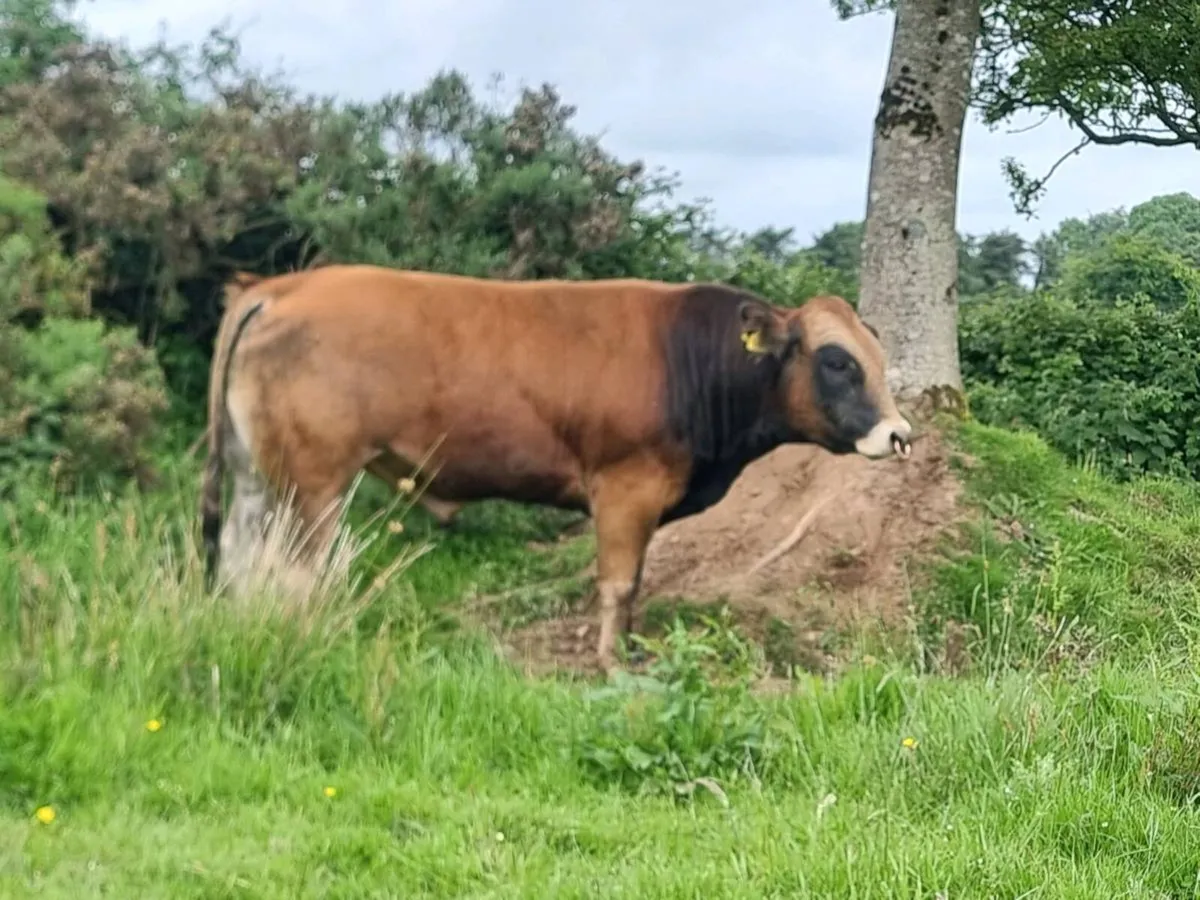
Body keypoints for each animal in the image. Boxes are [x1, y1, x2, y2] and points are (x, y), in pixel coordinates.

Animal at [199, 264, 912, 671]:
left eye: (878, 357)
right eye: (837, 361)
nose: (900, 435)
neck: (692, 360)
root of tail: (281, 287)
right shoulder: (626, 489)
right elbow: (619, 584)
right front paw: (613, 663)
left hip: (255, 474)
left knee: (239, 557)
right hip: (315, 481)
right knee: (297, 569)